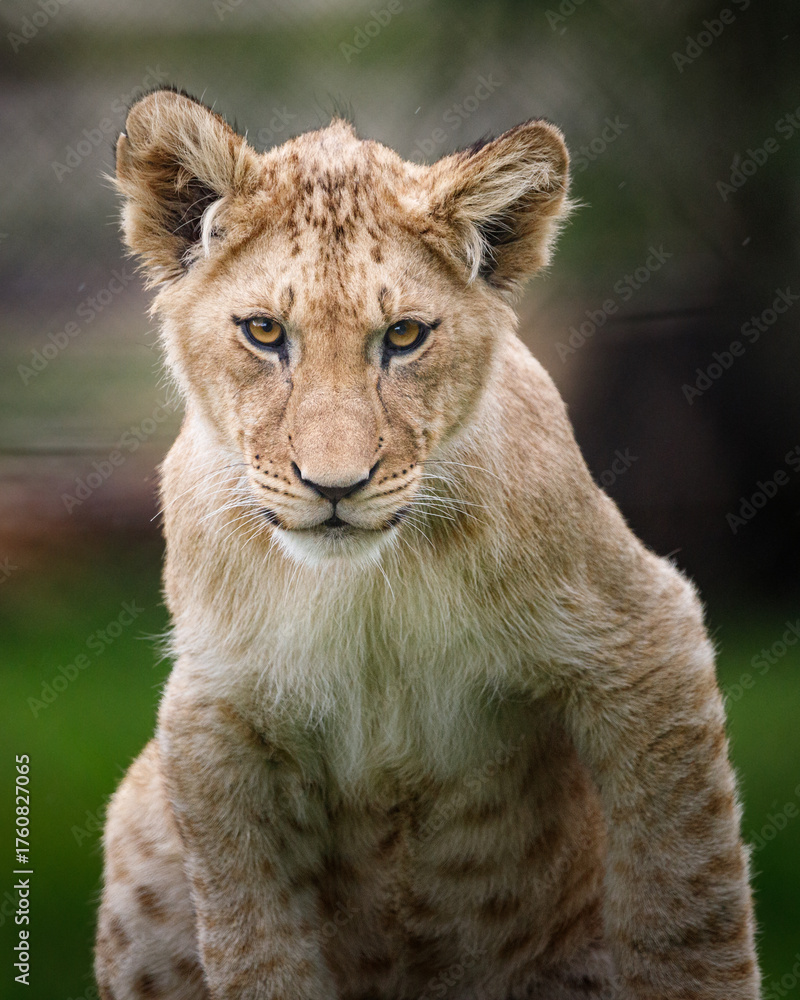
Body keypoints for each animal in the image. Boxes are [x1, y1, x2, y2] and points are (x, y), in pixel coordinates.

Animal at [95, 88, 759, 999]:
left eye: (405, 337)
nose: (334, 487)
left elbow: (688, 906)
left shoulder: (646, 638)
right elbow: (254, 944)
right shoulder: (215, 718)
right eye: (264, 332)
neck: (368, 584)